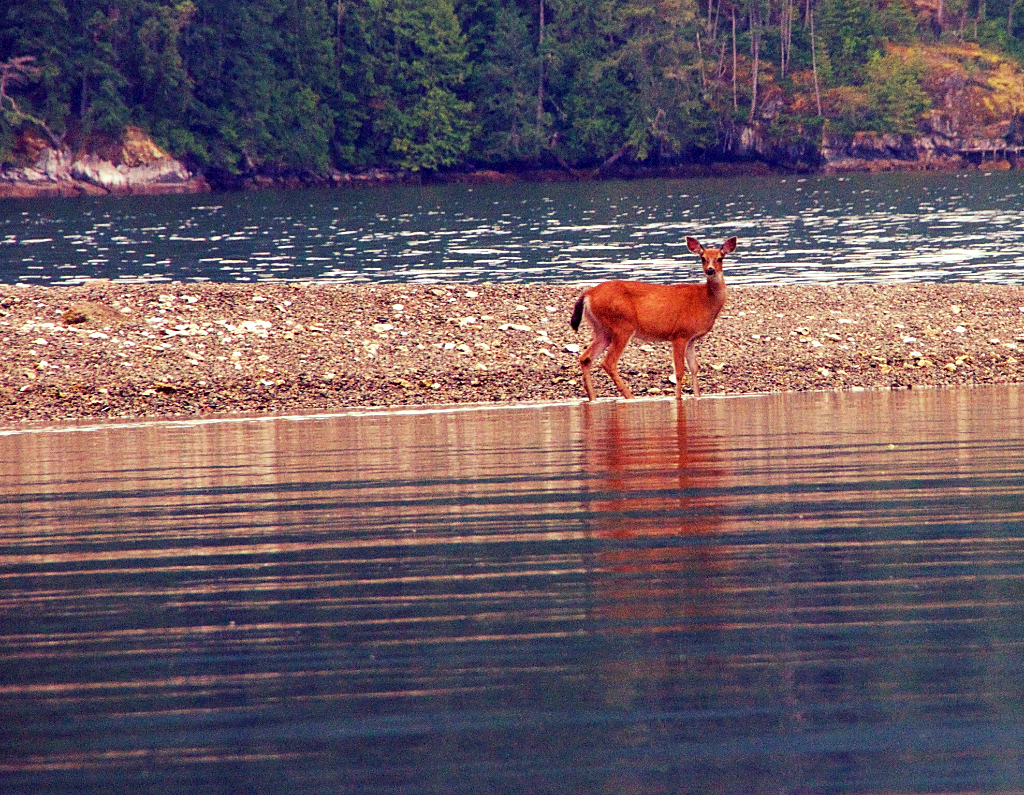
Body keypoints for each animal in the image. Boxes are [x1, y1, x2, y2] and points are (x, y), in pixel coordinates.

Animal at [569, 236, 737, 401]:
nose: (710, 270)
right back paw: (630, 397)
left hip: (602, 330)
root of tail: (588, 294)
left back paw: (593, 399)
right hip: (622, 326)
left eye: (720, 258)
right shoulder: (679, 334)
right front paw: (678, 399)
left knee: (586, 357)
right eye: (702, 258)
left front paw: (698, 397)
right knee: (608, 362)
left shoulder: (691, 338)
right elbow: (679, 371)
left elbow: (694, 368)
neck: (704, 301)